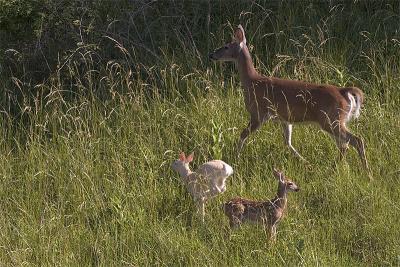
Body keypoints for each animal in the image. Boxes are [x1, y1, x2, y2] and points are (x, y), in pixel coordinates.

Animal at [209, 24, 368, 170]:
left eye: (226, 46)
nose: (212, 55)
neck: (252, 82)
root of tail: (343, 91)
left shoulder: (258, 113)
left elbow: (243, 134)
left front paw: (235, 159)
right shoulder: (285, 119)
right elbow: (287, 142)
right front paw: (306, 162)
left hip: (330, 119)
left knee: (356, 140)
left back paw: (366, 172)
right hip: (334, 120)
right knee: (345, 145)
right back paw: (335, 167)